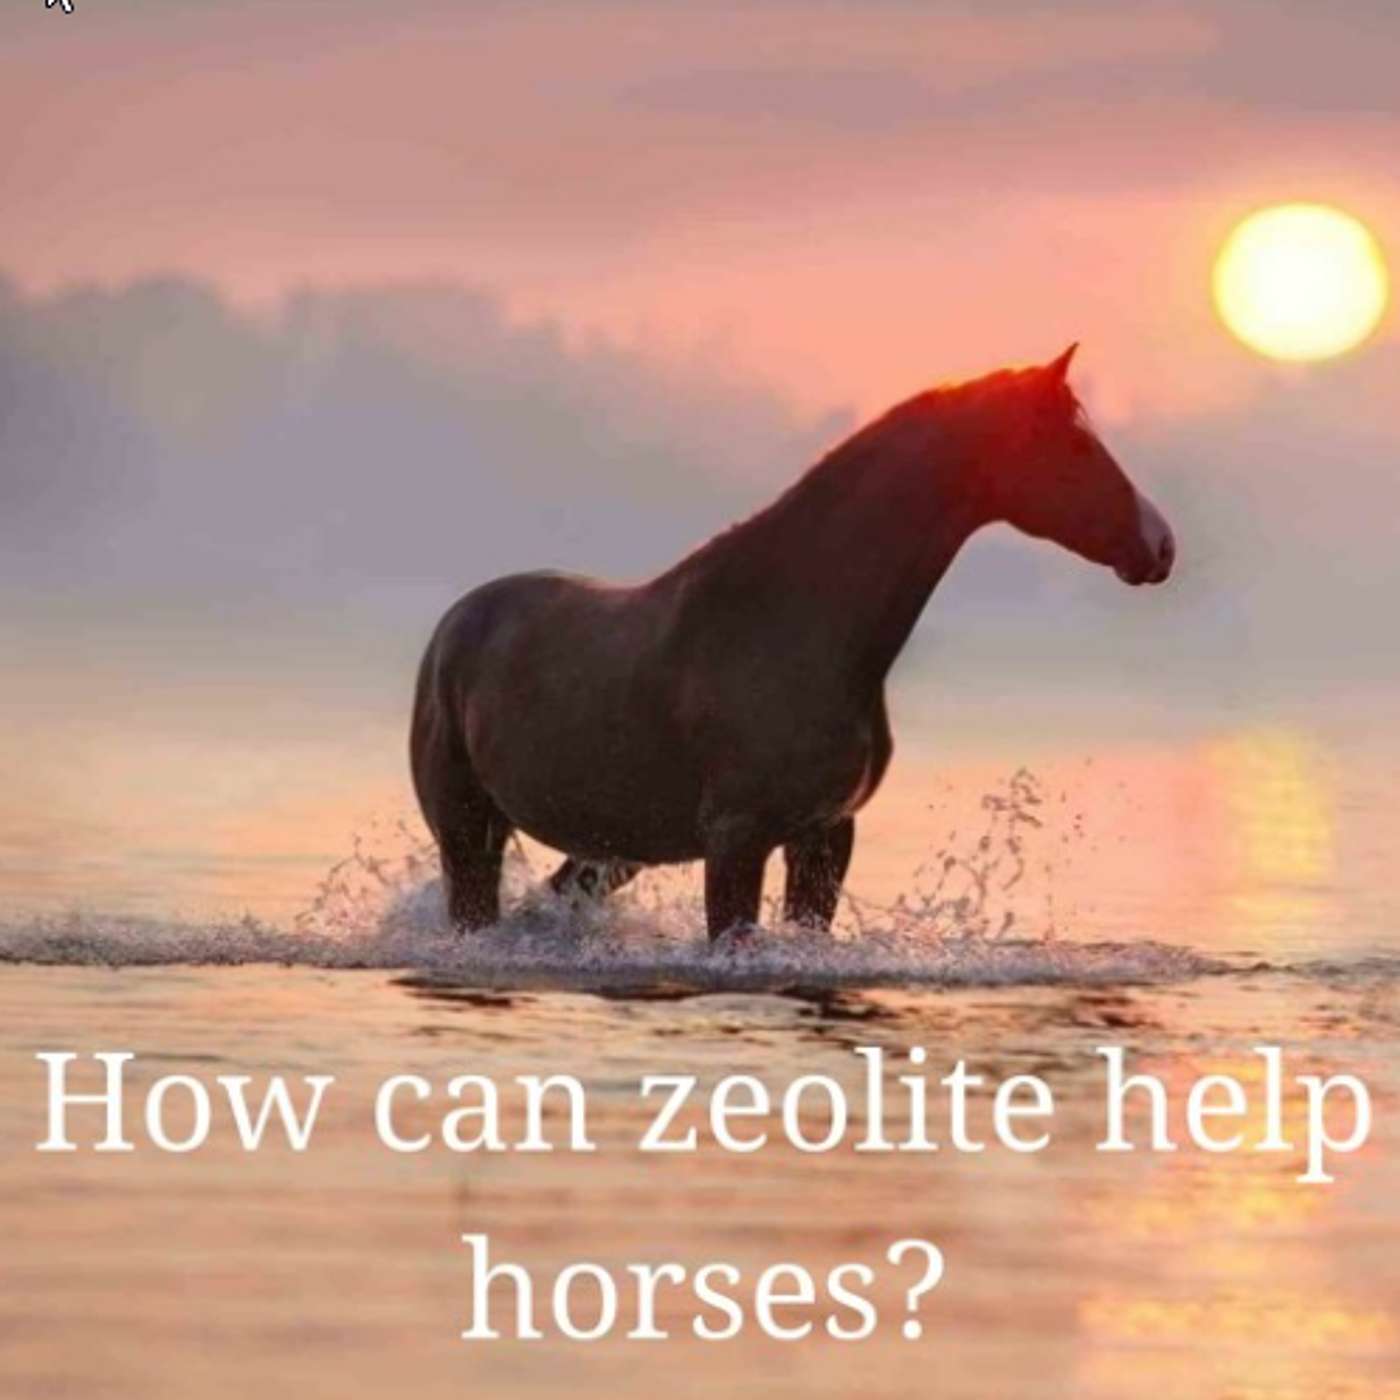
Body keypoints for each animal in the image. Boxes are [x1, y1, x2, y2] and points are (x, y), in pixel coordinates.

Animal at [410, 345, 1174, 941]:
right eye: (1076, 443)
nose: (1161, 544)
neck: (800, 626)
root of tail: (458, 622)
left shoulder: (823, 836)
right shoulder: (738, 839)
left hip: (611, 846)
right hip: (469, 832)